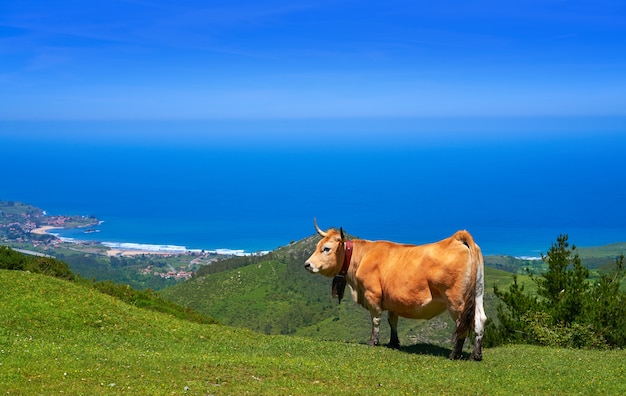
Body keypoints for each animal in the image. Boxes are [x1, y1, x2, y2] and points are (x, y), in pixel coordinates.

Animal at [304, 221, 486, 360]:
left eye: (326, 248)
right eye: (318, 246)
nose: (307, 264)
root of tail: (456, 238)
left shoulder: (372, 295)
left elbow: (375, 319)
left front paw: (373, 341)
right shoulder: (392, 299)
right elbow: (393, 321)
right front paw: (393, 342)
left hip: (456, 300)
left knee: (462, 323)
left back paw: (455, 354)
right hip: (478, 294)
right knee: (479, 320)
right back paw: (476, 355)